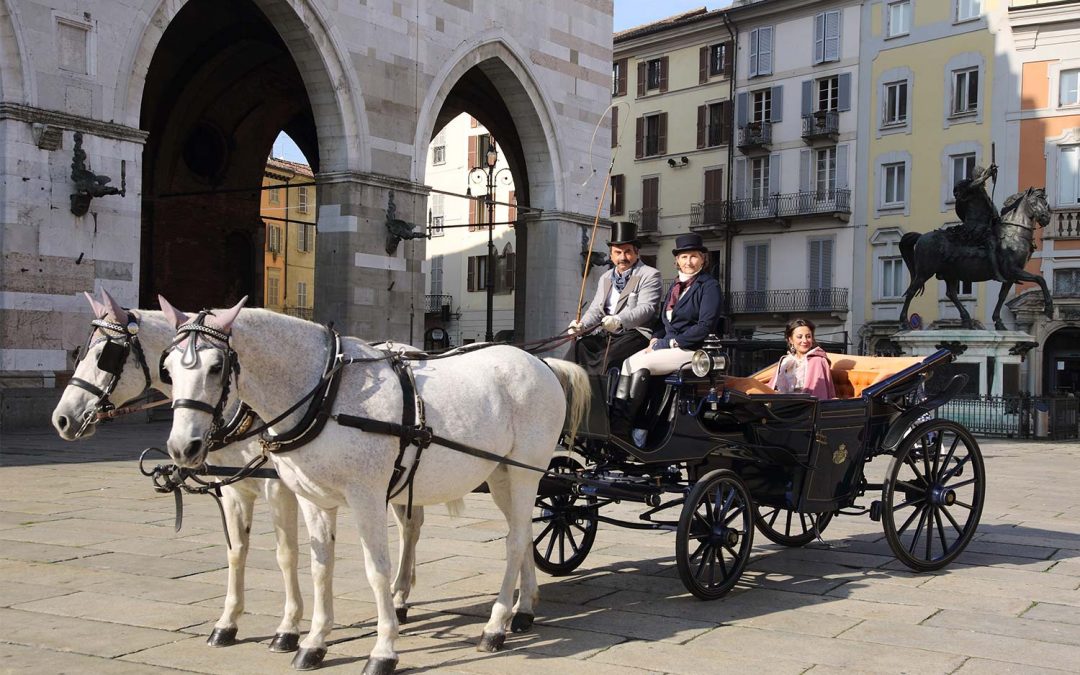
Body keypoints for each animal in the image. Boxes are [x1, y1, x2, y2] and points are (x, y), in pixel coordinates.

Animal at [156, 298, 587, 673]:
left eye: (216, 367)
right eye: (169, 369)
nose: (182, 447)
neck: (324, 393)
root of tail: (540, 361)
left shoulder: (366, 497)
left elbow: (376, 570)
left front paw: (383, 650)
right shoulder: (313, 499)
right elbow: (319, 566)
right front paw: (313, 642)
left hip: (525, 471)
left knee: (514, 541)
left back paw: (495, 626)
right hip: (500, 474)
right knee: (523, 533)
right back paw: (524, 608)